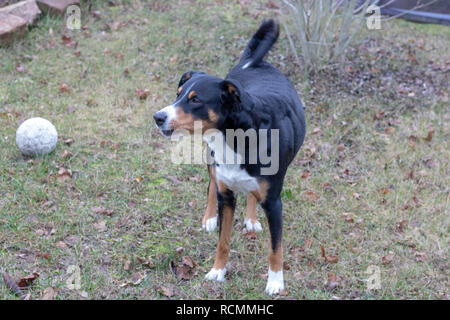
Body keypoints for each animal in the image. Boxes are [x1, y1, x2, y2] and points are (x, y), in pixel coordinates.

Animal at [155, 20, 306, 296]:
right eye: (178, 94)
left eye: (196, 99)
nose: (158, 117)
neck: (236, 137)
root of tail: (253, 63)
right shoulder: (226, 195)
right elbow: (223, 241)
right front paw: (218, 271)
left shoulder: (274, 202)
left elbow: (275, 248)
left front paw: (275, 282)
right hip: (211, 160)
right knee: (210, 185)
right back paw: (209, 218)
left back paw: (251, 219)